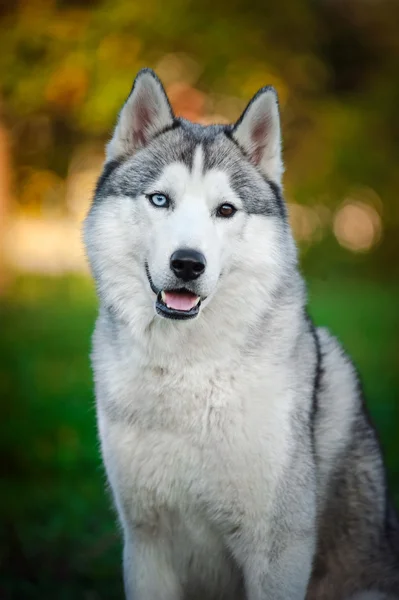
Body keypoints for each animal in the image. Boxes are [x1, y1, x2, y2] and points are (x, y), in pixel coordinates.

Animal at [84, 68, 399, 596]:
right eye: (160, 199)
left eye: (226, 210)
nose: (187, 263)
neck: (187, 371)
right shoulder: (146, 541)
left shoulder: (277, 548)